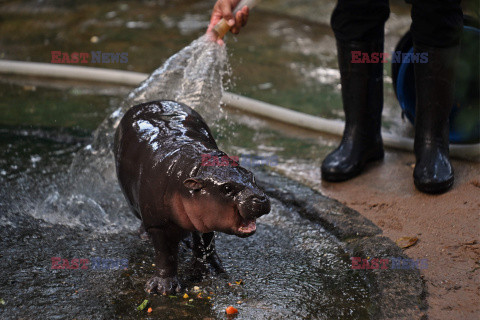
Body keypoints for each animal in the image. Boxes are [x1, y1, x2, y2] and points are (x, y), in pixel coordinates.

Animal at [113, 100, 270, 296]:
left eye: (252, 176)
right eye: (227, 188)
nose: (260, 199)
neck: (191, 170)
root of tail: (149, 102)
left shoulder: (204, 218)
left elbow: (206, 242)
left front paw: (210, 270)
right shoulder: (159, 224)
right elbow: (165, 254)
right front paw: (163, 288)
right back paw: (145, 236)